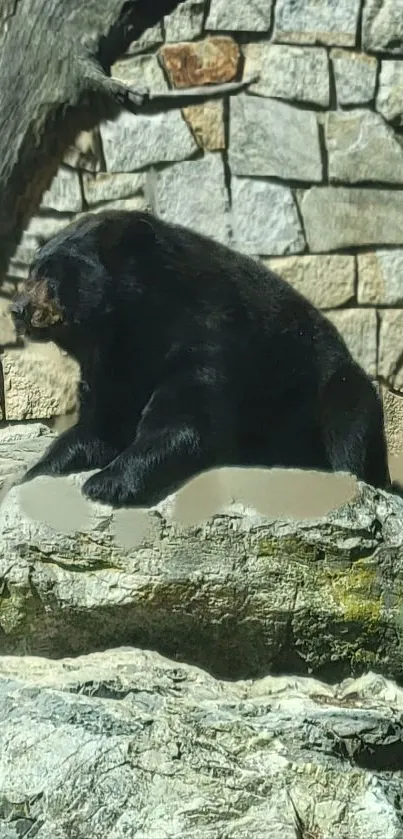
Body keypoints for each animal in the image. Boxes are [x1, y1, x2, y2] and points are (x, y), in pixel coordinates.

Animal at [11, 210, 392, 508]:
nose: (18, 309)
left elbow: (186, 419)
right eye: (32, 272)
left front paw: (105, 483)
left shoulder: (207, 330)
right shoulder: (110, 365)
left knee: (348, 422)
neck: (130, 323)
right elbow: (97, 427)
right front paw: (32, 475)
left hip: (328, 387)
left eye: (52, 275)